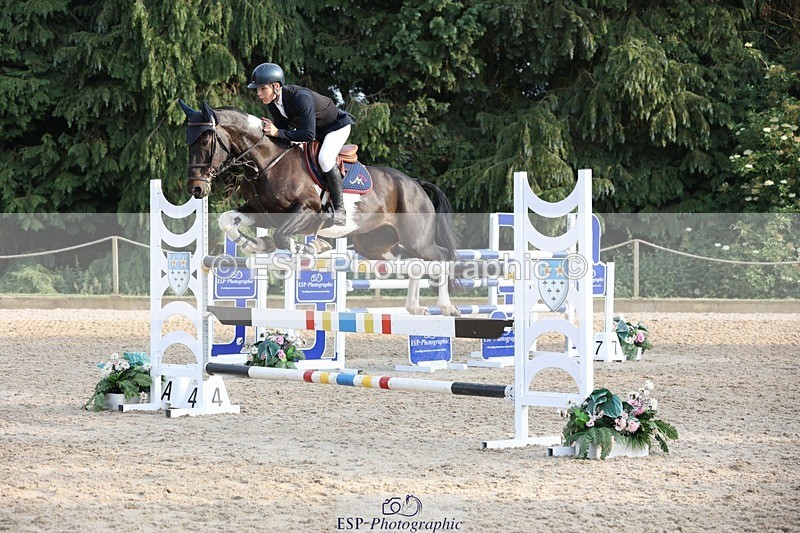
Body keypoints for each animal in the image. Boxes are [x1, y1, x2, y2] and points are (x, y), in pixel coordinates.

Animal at [178, 100, 460, 316]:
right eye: (188, 142)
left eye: (205, 142)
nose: (196, 189)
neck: (267, 161)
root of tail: (416, 184)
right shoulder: (264, 214)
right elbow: (228, 220)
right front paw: (254, 245)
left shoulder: (308, 210)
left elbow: (283, 237)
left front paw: (310, 248)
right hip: (375, 244)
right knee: (413, 264)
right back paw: (415, 308)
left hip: (416, 239)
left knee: (441, 255)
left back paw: (446, 306)